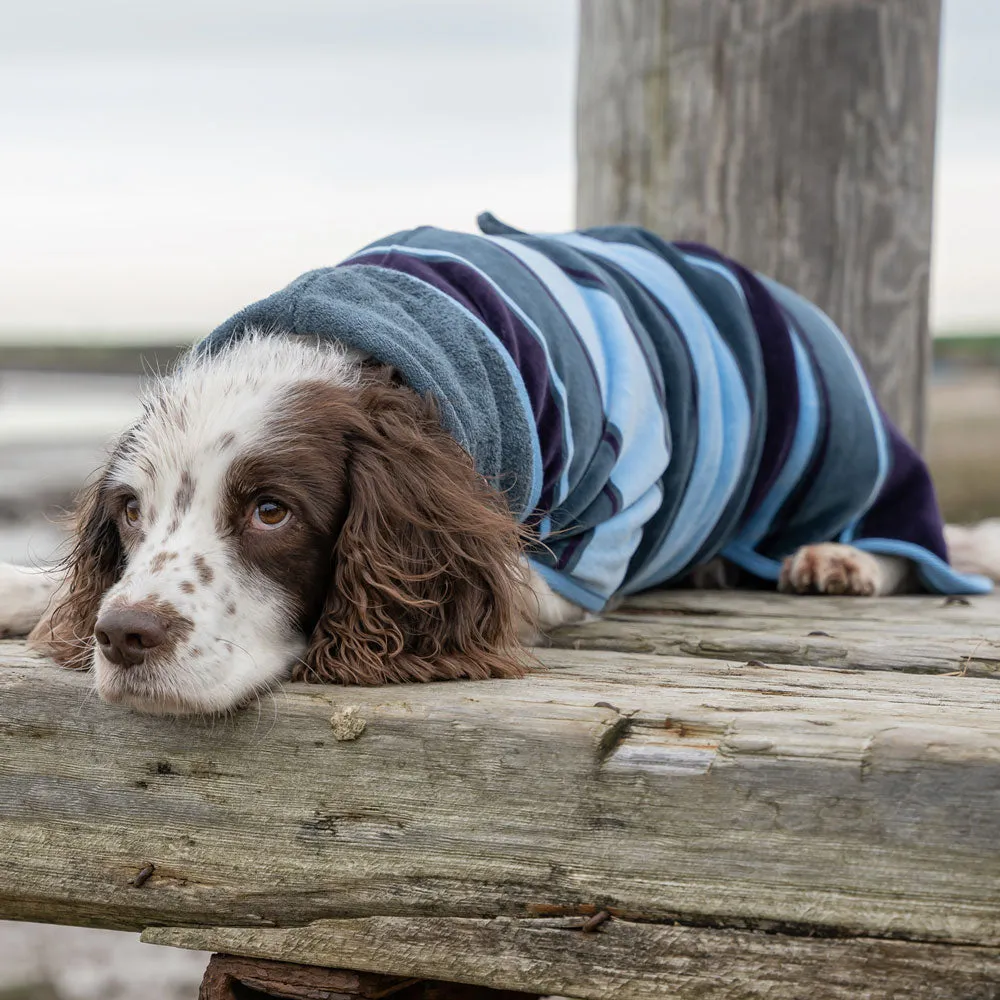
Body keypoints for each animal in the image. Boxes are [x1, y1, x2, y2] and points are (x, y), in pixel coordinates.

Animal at [0, 217, 996, 720]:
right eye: (131, 512)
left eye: (272, 511)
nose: (124, 636)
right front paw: (39, 599)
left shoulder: (575, 547)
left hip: (835, 452)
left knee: (918, 542)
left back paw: (842, 559)